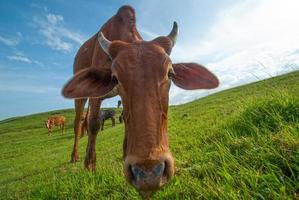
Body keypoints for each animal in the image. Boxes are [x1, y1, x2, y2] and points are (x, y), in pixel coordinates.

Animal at [62, 5, 220, 196]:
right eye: (115, 78)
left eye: (170, 73)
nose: (150, 173)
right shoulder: (96, 97)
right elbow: (93, 124)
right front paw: (90, 165)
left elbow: (126, 120)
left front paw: (125, 155)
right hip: (81, 97)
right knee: (79, 123)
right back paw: (74, 156)